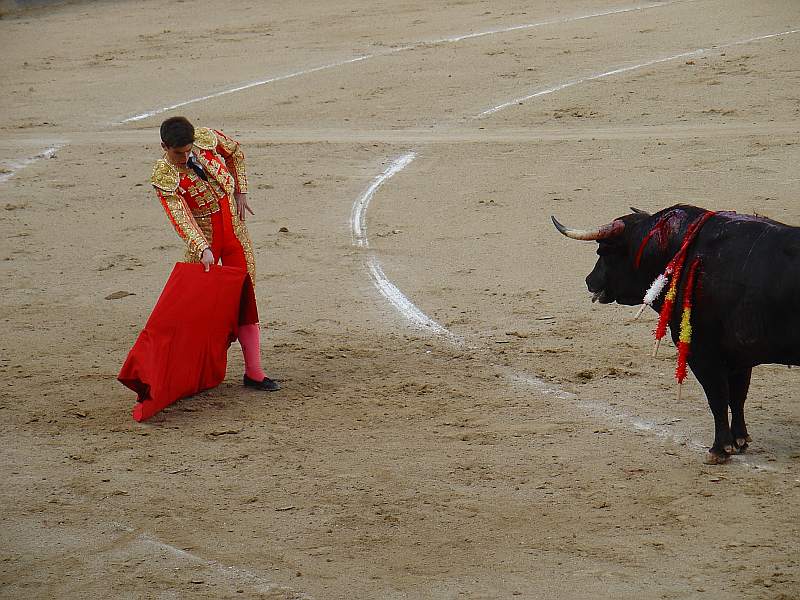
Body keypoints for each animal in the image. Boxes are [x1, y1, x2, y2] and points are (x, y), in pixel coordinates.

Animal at [552, 204, 800, 462]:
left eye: (603, 250)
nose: (589, 280)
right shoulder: (740, 354)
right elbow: (737, 395)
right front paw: (740, 440)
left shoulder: (702, 352)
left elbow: (718, 397)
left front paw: (720, 449)